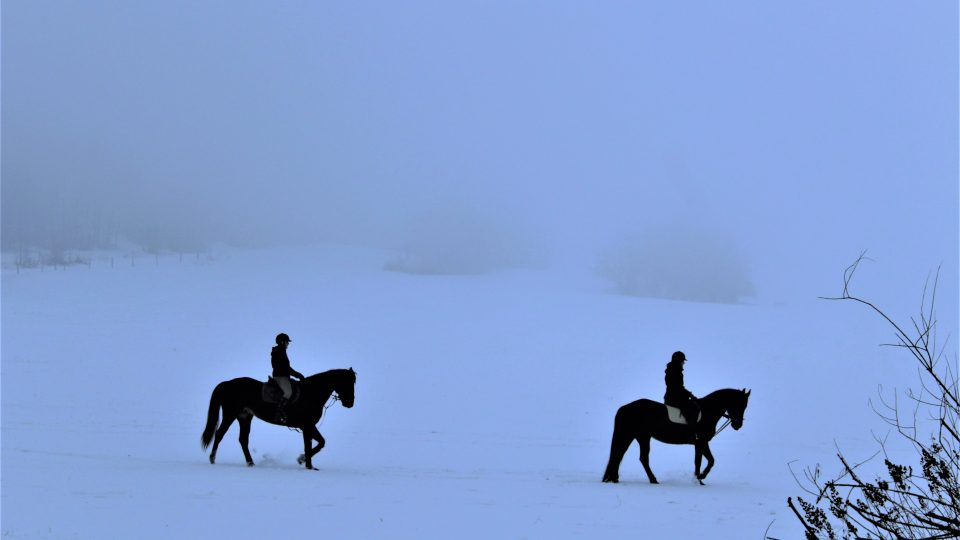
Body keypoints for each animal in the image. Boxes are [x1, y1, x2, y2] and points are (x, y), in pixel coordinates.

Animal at [201, 368, 354, 468]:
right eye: (347, 382)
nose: (350, 403)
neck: (311, 393)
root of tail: (227, 383)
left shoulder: (307, 427)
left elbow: (314, 444)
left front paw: (307, 464)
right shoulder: (307, 425)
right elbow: (316, 444)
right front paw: (304, 461)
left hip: (245, 417)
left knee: (243, 440)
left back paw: (251, 463)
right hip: (230, 415)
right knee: (219, 434)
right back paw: (212, 459)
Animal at [600, 388, 752, 486]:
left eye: (745, 405)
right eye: (738, 404)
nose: (738, 425)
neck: (707, 412)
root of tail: (625, 407)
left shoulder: (698, 444)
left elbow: (698, 462)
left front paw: (698, 480)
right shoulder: (702, 442)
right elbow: (711, 461)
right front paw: (701, 477)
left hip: (637, 436)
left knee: (621, 455)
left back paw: (616, 478)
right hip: (638, 436)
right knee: (633, 457)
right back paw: (653, 480)